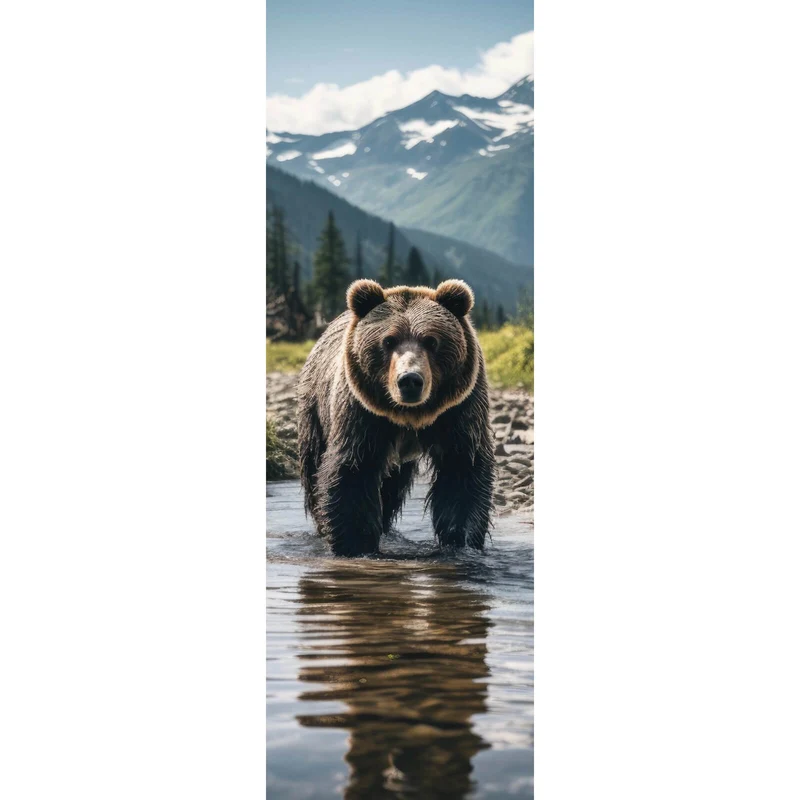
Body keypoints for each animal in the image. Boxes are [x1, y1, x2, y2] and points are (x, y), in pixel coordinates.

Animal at [297, 278, 495, 557]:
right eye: (388, 341)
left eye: (431, 341)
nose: (410, 380)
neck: (409, 416)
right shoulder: (362, 413)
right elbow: (353, 470)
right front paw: (356, 545)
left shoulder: (460, 409)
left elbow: (461, 471)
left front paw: (463, 542)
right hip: (315, 407)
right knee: (314, 465)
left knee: (391, 487)